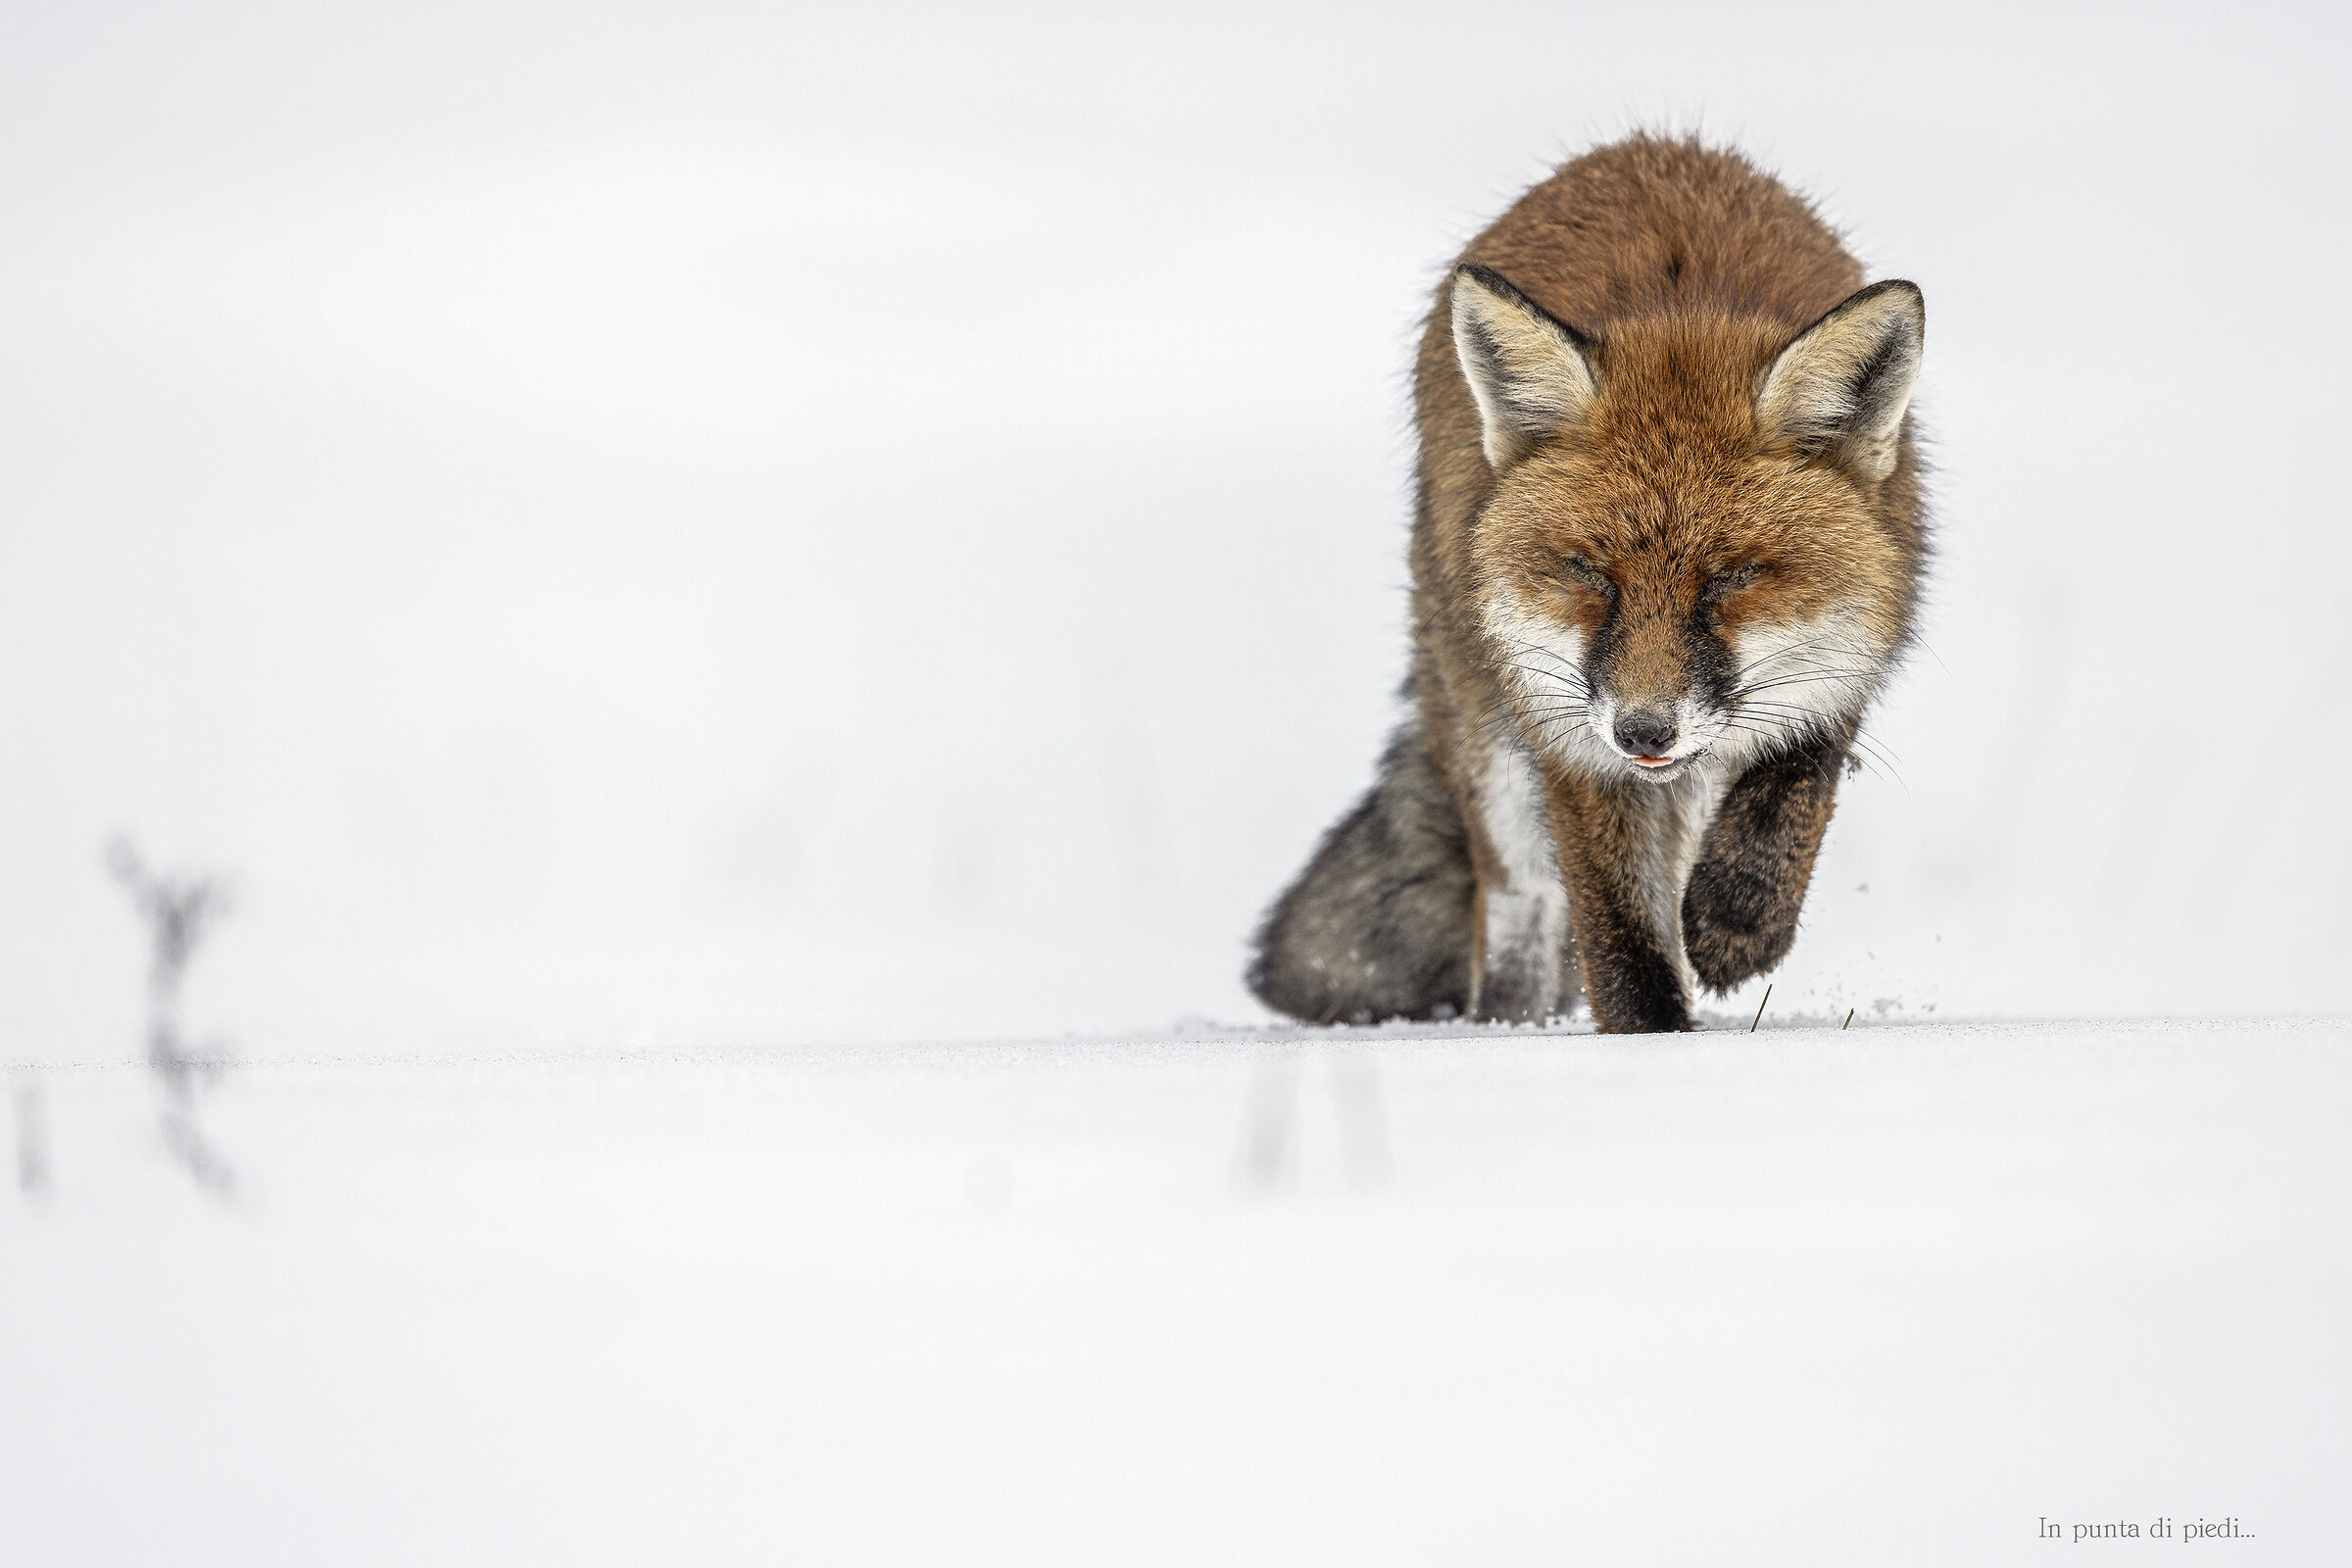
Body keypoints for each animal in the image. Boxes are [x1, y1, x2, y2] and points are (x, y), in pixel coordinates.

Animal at [1249, 134, 1926, 1034]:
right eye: (1588, 574)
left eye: (1732, 579)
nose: (1643, 732)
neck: (1683, 313)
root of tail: (1649, 144)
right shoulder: (1567, 729)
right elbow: (1618, 932)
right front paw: (1643, 1048)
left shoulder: (1850, 655)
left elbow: (1795, 791)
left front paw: (1738, 924)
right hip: (1493, 750)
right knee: (1518, 910)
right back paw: (1506, 1030)